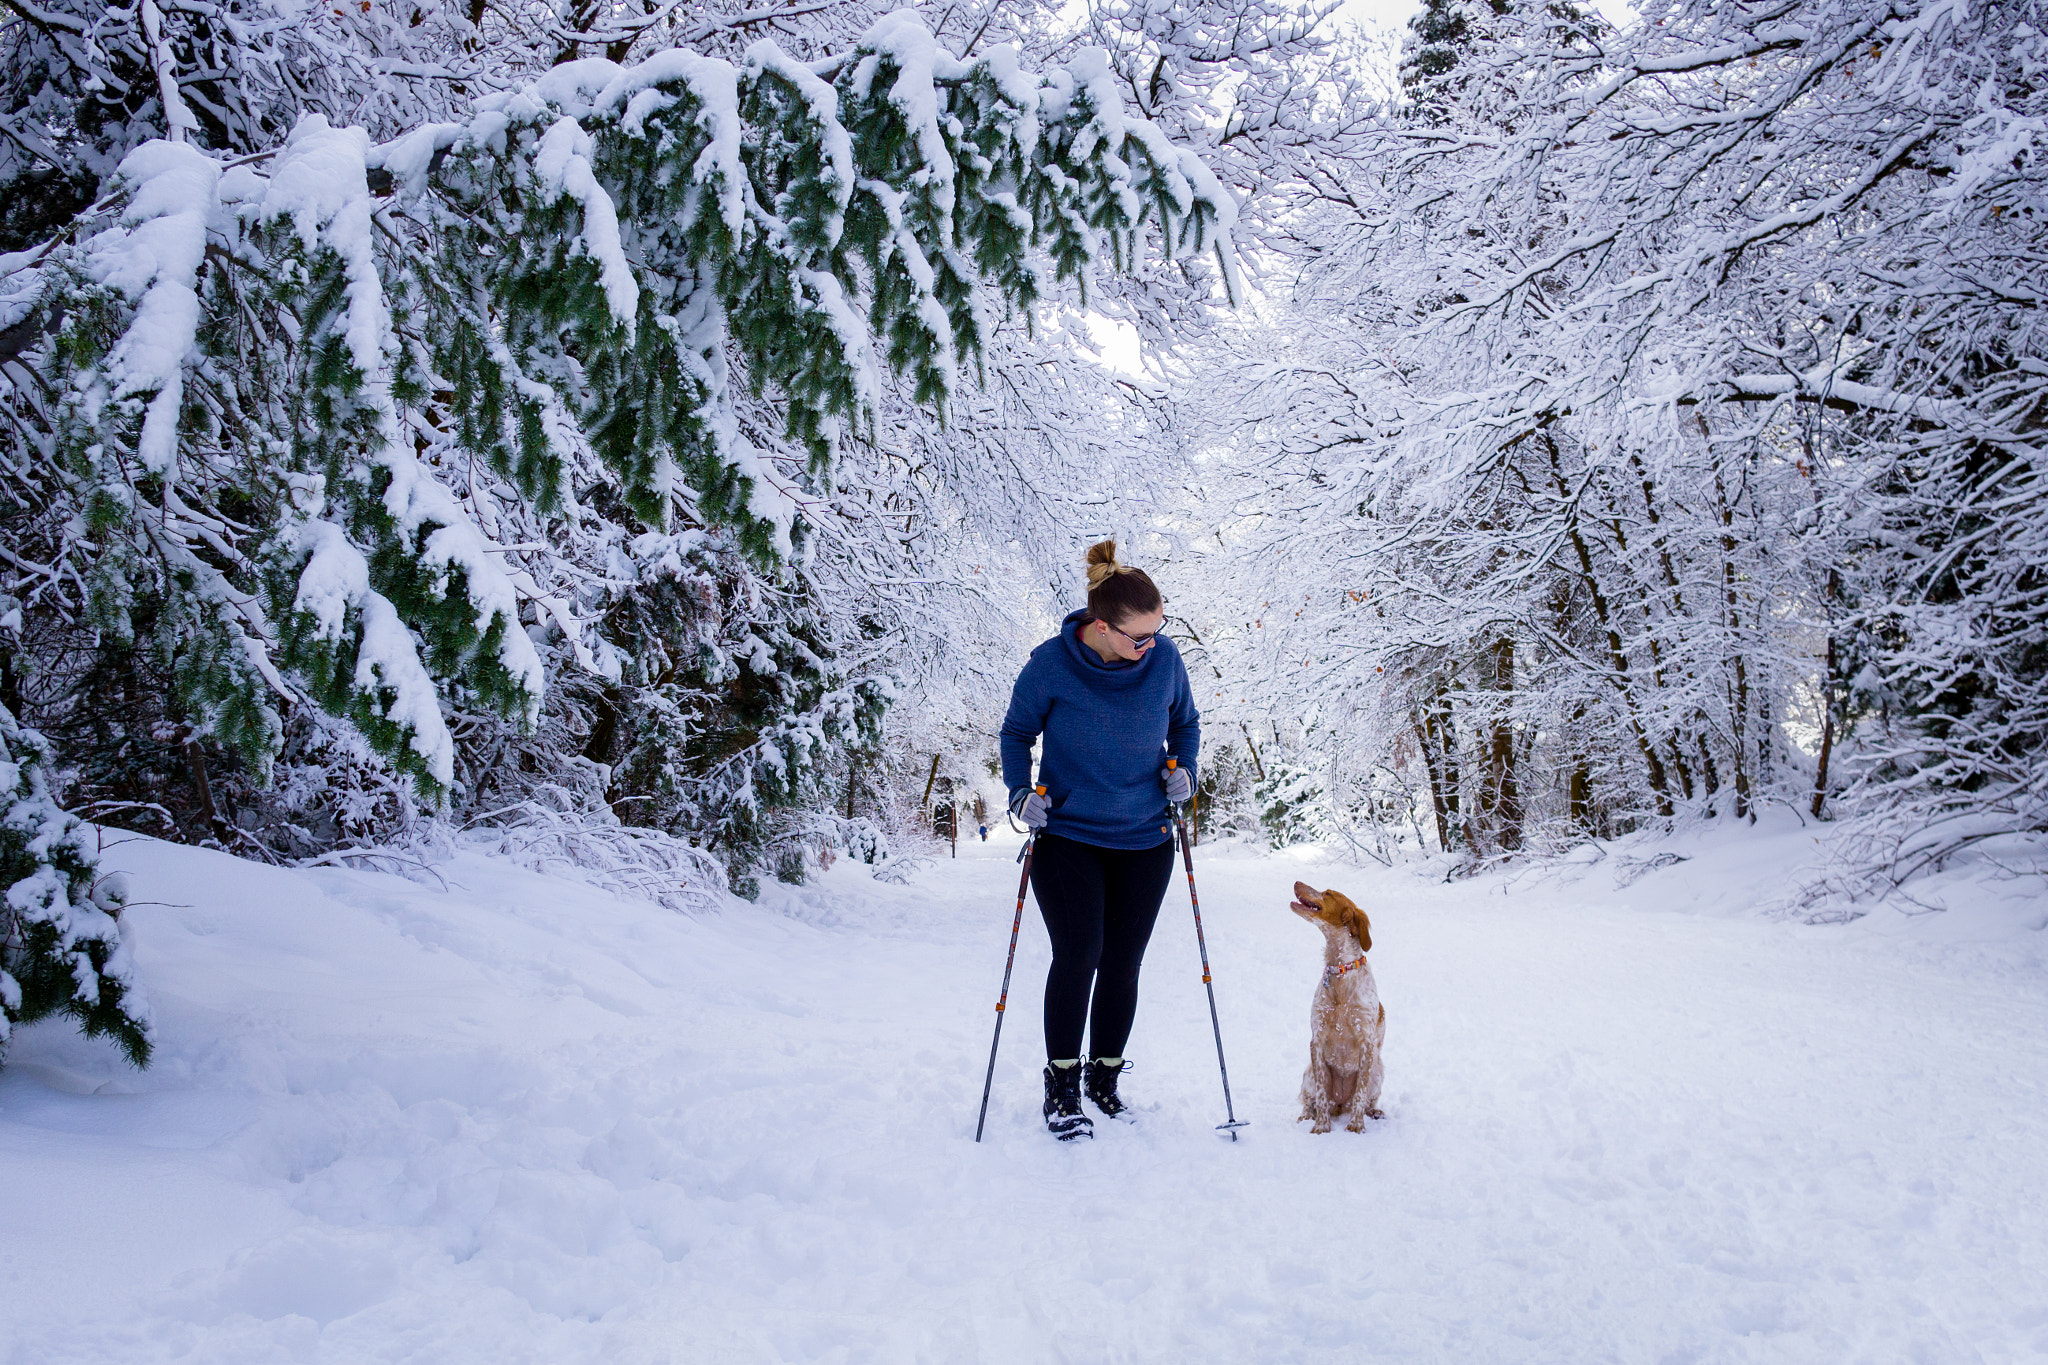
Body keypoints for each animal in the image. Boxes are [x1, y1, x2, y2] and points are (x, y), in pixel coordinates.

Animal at [1286, 888, 1384, 1129]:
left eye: (1327, 893)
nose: (1296, 882)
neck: (1340, 969)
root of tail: (1340, 1104)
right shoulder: (1317, 1040)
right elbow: (1321, 1096)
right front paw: (1321, 1127)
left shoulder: (1366, 1043)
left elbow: (1360, 1095)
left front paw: (1356, 1126)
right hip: (1309, 1073)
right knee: (1310, 1101)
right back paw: (1306, 1116)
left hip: (1378, 1071)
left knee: (1366, 1101)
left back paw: (1374, 1113)